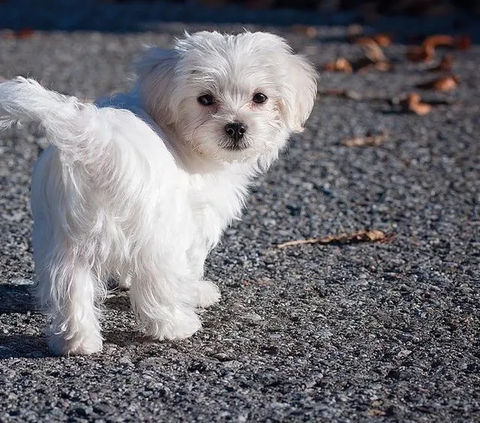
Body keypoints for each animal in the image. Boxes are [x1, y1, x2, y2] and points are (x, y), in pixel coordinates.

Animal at [0, 30, 316, 354]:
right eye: (205, 99)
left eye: (260, 98)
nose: (236, 127)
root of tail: (96, 142)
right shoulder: (194, 220)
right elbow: (191, 264)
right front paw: (197, 292)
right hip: (157, 233)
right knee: (157, 283)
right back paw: (177, 326)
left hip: (64, 239)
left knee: (69, 288)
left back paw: (76, 342)